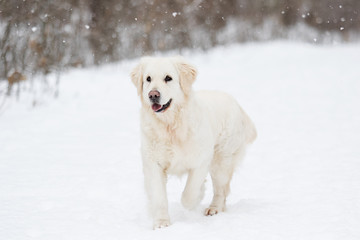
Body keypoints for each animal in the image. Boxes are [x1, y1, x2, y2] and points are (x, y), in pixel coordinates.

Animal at [129, 55, 256, 229]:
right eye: (148, 79)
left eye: (168, 78)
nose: (153, 95)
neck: (170, 126)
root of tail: (235, 103)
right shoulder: (153, 163)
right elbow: (159, 196)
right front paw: (161, 223)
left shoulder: (201, 159)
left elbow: (189, 192)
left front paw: (196, 197)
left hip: (221, 161)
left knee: (221, 190)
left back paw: (214, 208)